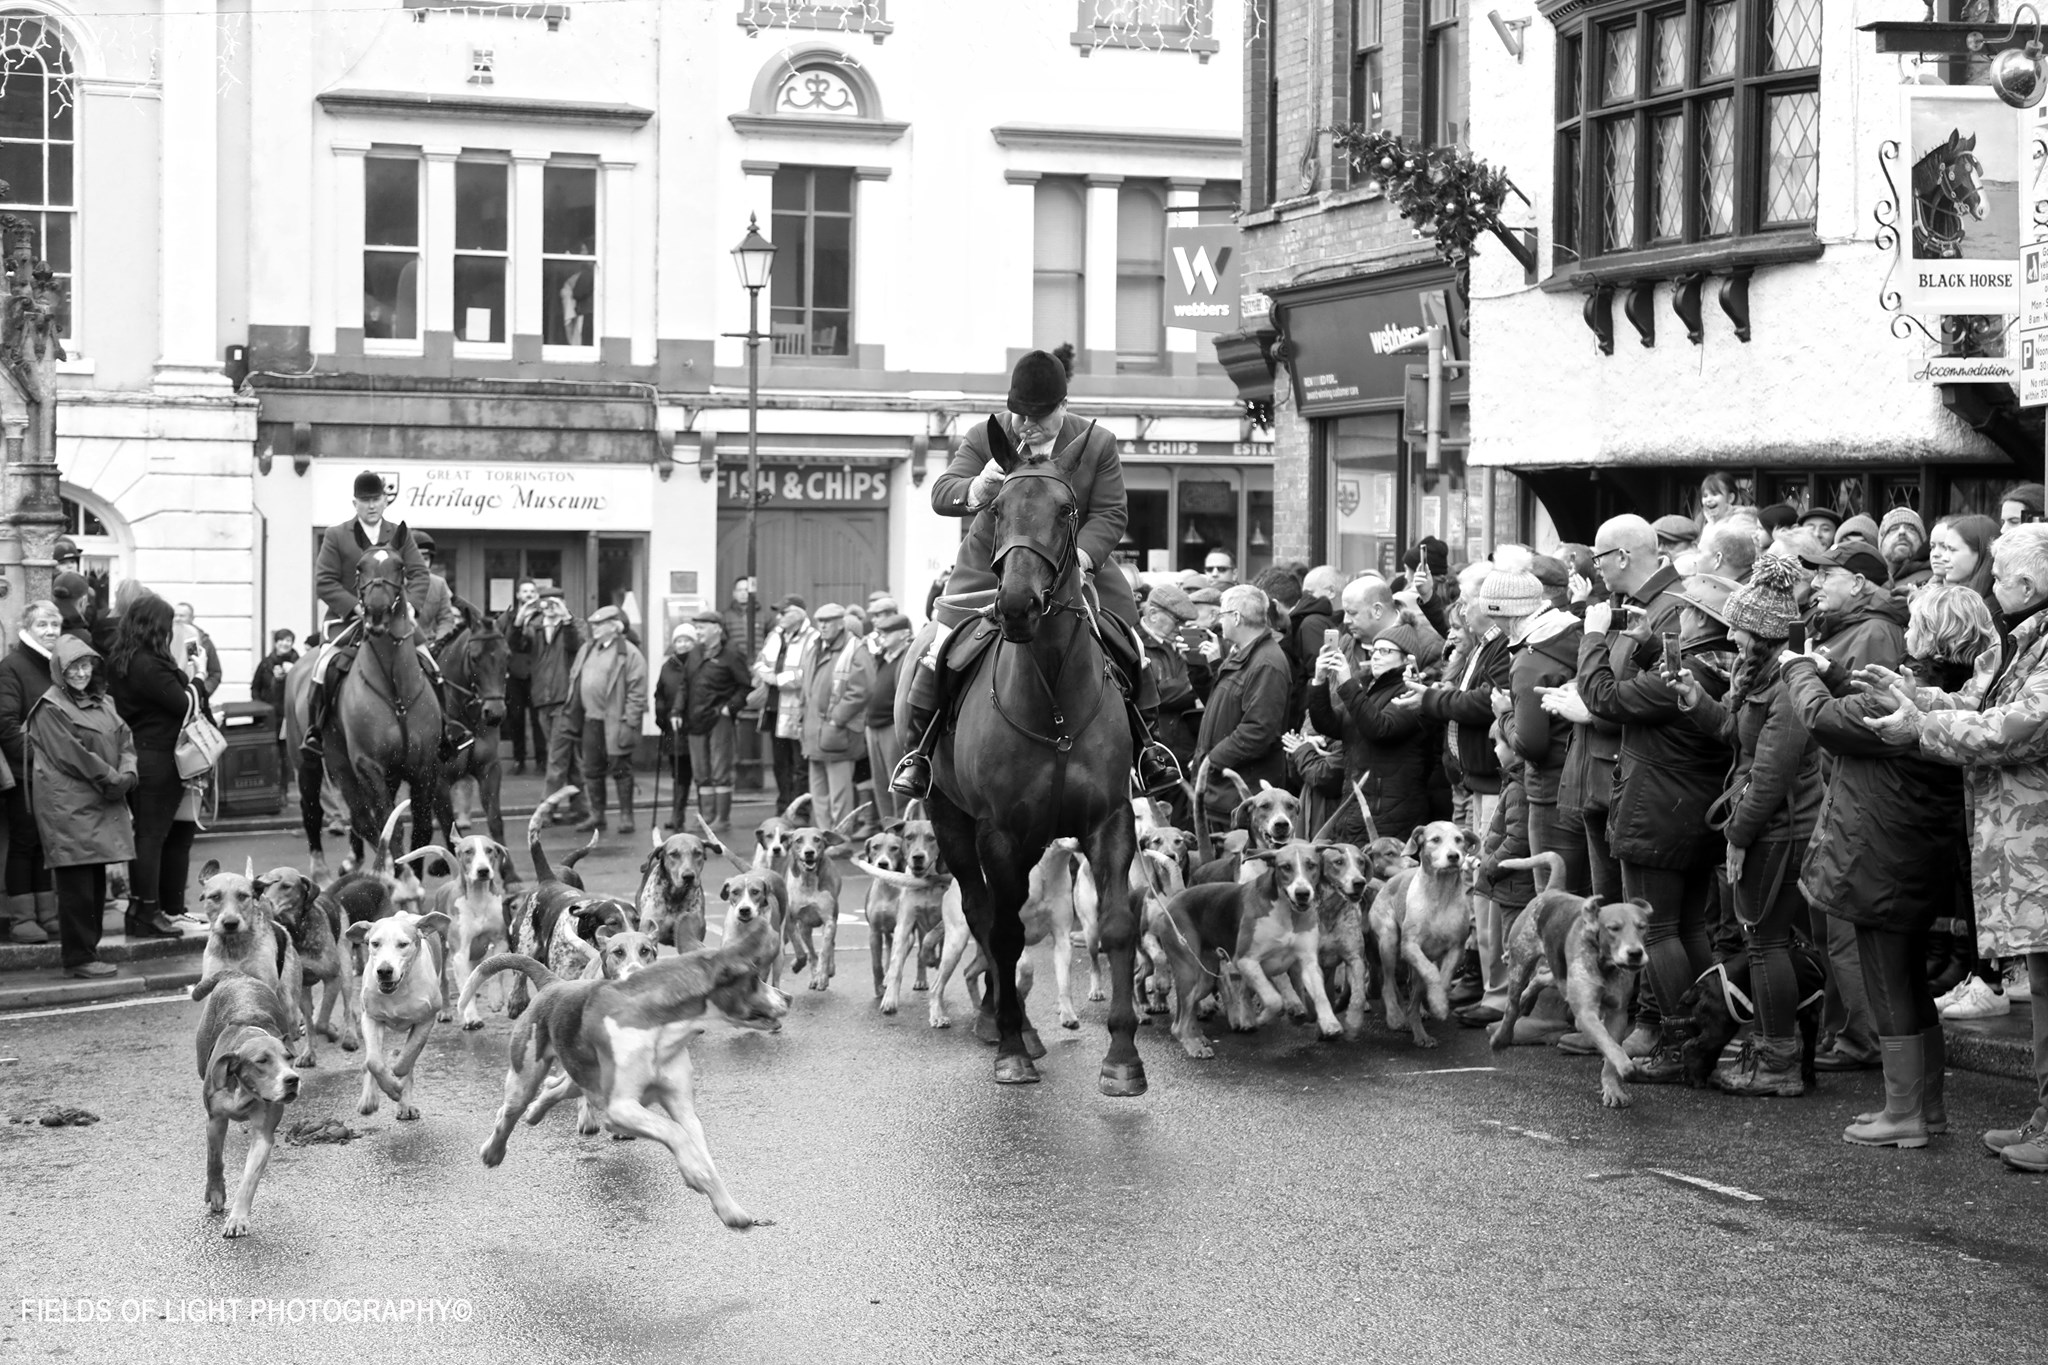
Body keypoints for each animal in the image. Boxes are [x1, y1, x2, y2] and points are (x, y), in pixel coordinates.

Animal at [311, 540, 444, 863]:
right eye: (360, 567)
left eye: (400, 566)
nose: (376, 614)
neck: (395, 690)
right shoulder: (368, 767)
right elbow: (389, 830)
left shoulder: (425, 766)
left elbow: (421, 831)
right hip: (340, 767)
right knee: (363, 821)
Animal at [430, 618, 509, 847]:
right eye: (474, 658)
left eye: (507, 655)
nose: (495, 713)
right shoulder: (439, 783)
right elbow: (449, 831)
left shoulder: (489, 769)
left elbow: (495, 821)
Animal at [921, 421, 1146, 1096]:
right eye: (996, 508)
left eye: (1066, 510)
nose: (1016, 605)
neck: (1054, 705)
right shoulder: (999, 832)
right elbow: (1003, 930)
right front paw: (1012, 1050)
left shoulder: (1110, 822)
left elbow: (1116, 927)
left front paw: (1122, 1058)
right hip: (952, 822)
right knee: (982, 914)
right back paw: (1003, 1025)